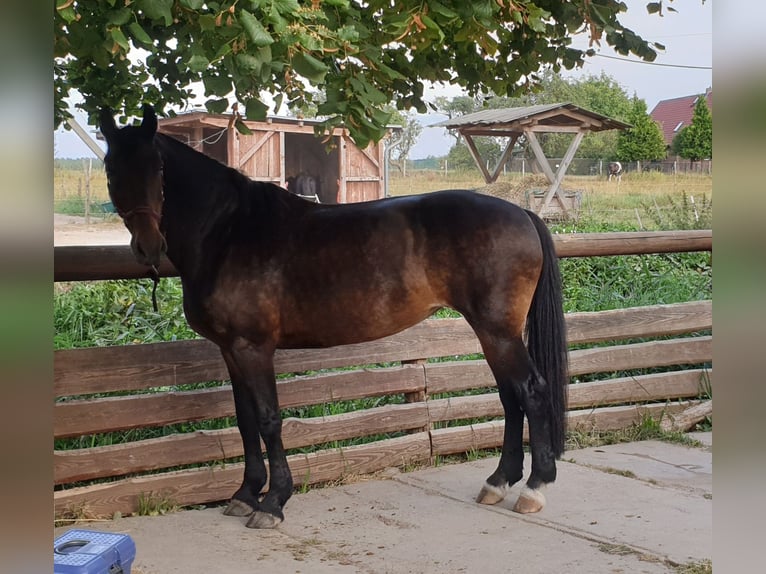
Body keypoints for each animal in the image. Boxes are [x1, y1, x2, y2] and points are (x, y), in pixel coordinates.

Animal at [99, 104, 568, 532]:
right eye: (110, 168)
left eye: (158, 168)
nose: (148, 246)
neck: (228, 232)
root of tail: (522, 213)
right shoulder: (230, 350)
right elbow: (245, 420)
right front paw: (245, 494)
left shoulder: (253, 348)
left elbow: (268, 419)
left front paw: (273, 502)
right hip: (493, 334)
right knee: (510, 397)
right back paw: (498, 482)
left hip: (498, 331)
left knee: (530, 392)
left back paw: (534, 487)